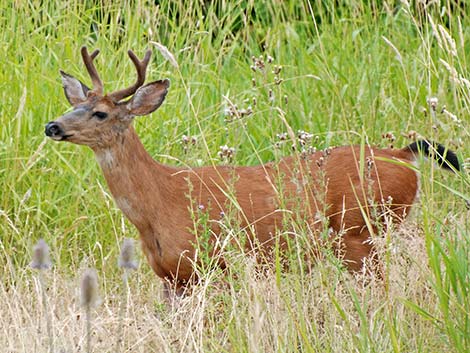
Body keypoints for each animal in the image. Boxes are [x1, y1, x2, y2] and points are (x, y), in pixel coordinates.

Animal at [45, 46, 458, 294]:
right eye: (75, 104)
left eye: (100, 113)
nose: (53, 126)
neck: (158, 203)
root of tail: (404, 155)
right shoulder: (171, 276)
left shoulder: (213, 263)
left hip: (359, 232)